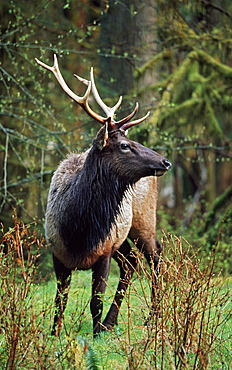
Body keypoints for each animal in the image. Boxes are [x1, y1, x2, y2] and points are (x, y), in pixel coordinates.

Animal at [35, 55, 171, 338]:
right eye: (124, 145)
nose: (165, 162)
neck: (78, 229)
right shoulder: (57, 250)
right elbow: (60, 299)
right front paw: (54, 333)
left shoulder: (104, 251)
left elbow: (95, 300)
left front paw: (96, 334)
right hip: (123, 235)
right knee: (131, 263)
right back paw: (113, 321)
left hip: (143, 220)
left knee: (155, 256)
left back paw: (153, 318)